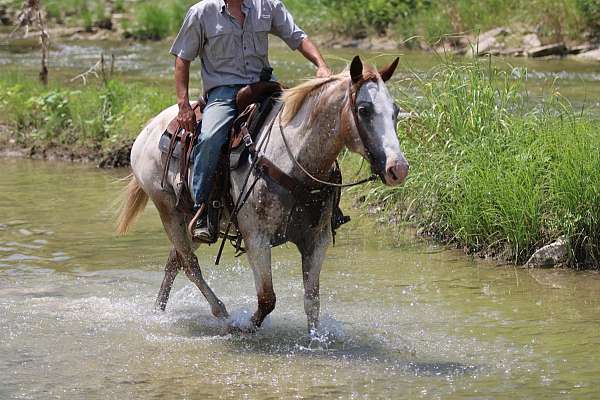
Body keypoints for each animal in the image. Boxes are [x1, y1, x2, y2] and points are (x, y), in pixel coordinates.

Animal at [116, 54, 408, 332]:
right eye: (364, 109)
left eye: (395, 110)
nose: (399, 168)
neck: (293, 158)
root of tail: (148, 130)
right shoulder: (257, 238)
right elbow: (267, 299)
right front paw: (244, 327)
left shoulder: (317, 240)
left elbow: (312, 301)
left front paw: (316, 339)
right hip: (169, 213)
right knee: (190, 265)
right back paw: (222, 315)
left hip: (192, 221)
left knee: (174, 262)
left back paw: (159, 310)